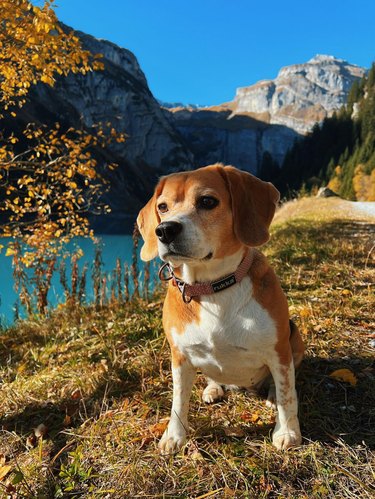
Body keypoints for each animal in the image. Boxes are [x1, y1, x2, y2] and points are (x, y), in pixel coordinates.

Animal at [137, 164, 304, 454]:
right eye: (163, 206)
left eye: (207, 201)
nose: (164, 230)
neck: (213, 289)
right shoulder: (179, 357)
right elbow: (178, 401)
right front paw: (174, 436)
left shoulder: (279, 352)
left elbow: (287, 395)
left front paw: (288, 432)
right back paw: (213, 389)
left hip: (296, 340)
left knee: (280, 384)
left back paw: (270, 394)